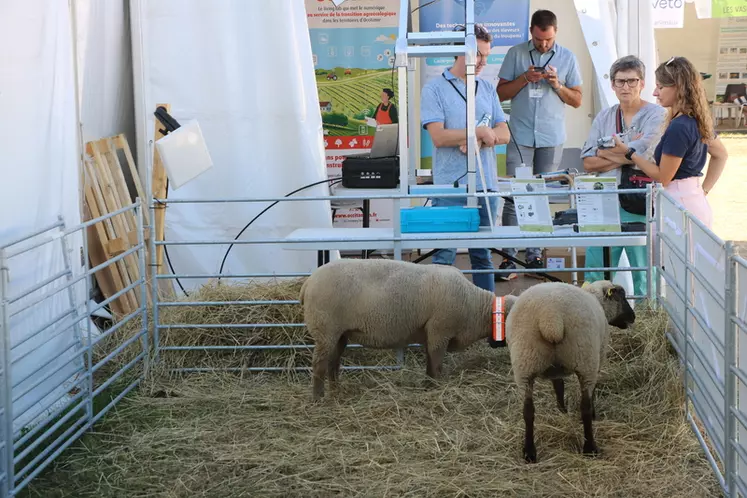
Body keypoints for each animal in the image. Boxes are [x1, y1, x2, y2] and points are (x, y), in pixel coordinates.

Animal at [298, 256, 516, 400]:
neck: (475, 306)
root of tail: (308, 283)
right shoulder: (439, 330)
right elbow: (437, 362)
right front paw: (437, 386)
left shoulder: (430, 333)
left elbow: (430, 361)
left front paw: (428, 384)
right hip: (325, 329)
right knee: (318, 365)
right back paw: (318, 398)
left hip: (339, 334)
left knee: (333, 363)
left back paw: (336, 390)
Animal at [502, 280, 636, 462]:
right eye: (621, 297)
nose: (633, 317)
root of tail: (551, 318)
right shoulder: (598, 358)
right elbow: (591, 392)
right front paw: (592, 413)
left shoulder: (555, 369)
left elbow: (558, 386)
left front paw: (562, 411)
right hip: (585, 358)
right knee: (584, 407)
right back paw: (590, 448)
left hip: (524, 363)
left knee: (528, 411)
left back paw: (529, 452)